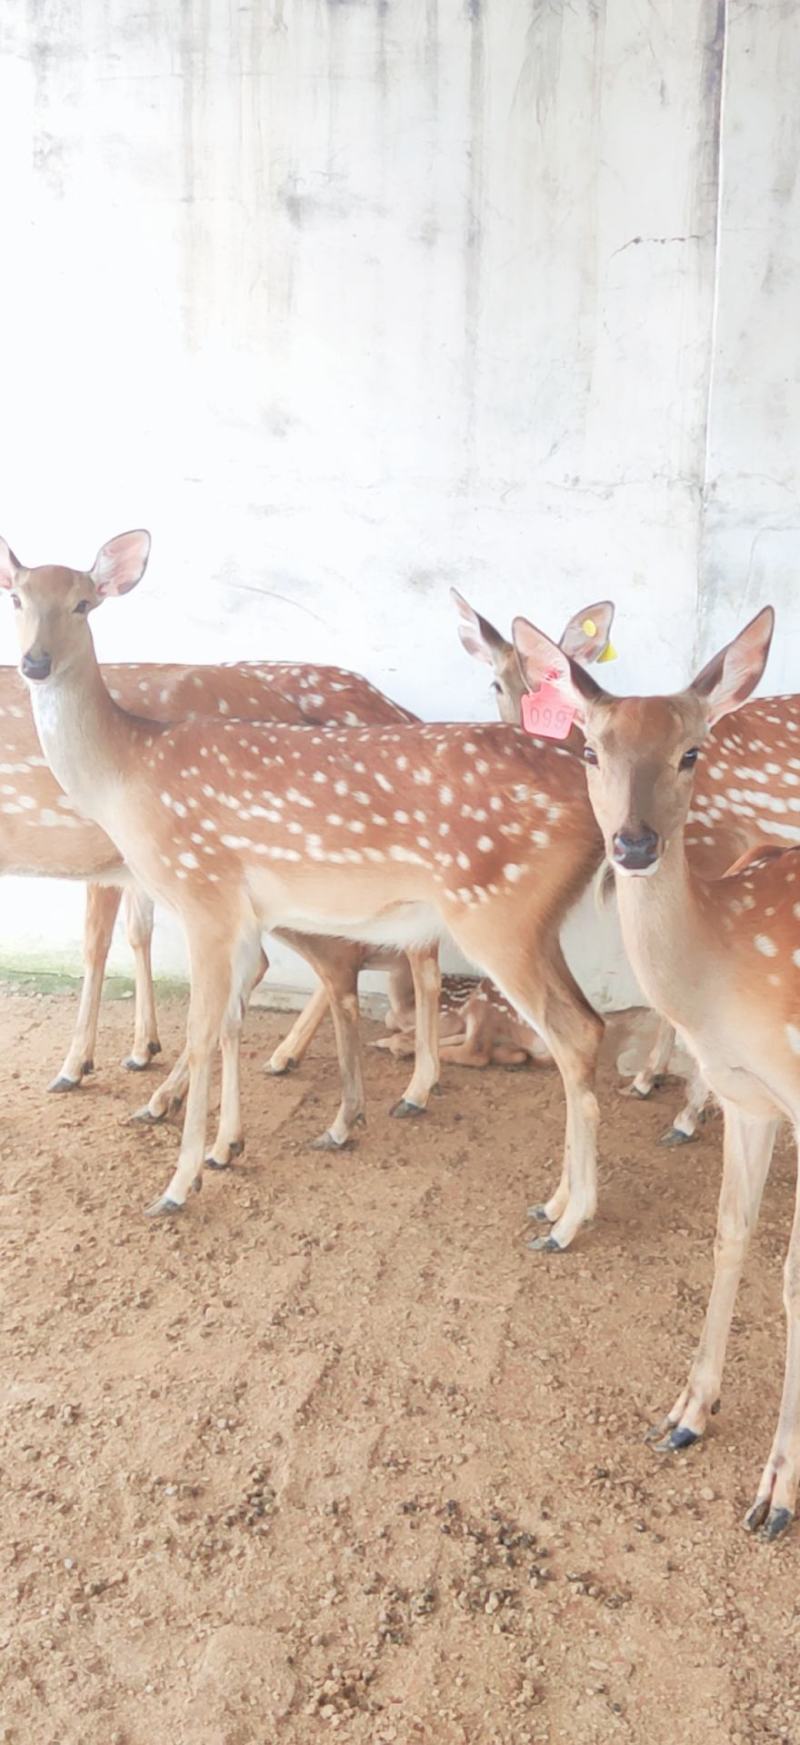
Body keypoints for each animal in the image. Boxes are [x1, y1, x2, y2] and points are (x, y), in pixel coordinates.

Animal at [3, 530, 607, 1242]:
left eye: (83, 603)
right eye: (17, 598)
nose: (35, 663)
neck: (127, 773)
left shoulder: (203, 892)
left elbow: (199, 1029)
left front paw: (177, 1182)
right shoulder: (234, 913)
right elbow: (230, 1019)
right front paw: (225, 1146)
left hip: (498, 912)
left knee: (570, 1034)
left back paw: (566, 1222)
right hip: (537, 921)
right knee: (585, 1026)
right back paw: (551, 1203)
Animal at [513, 607, 800, 1549]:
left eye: (692, 752)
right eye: (589, 749)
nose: (633, 845)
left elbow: (794, 1276)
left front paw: (778, 1493)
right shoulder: (750, 1096)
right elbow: (730, 1234)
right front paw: (686, 1414)